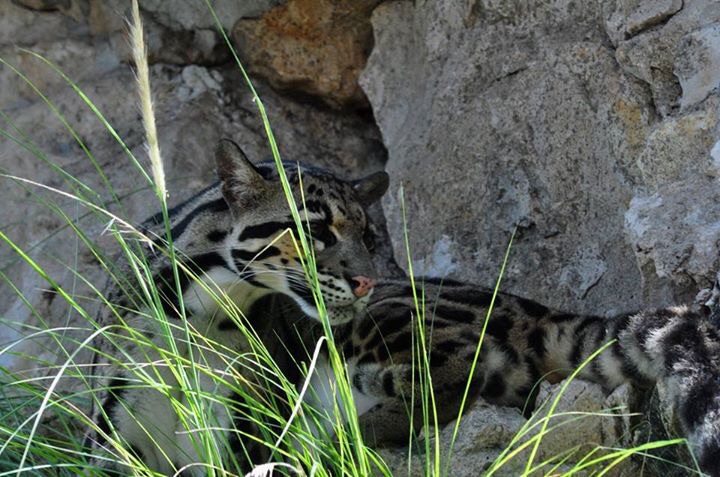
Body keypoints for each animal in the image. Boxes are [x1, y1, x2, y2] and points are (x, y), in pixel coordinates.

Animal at [85, 139, 389, 476]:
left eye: (368, 240)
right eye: (316, 231)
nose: (367, 282)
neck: (203, 312)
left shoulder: (229, 435)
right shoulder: (116, 434)